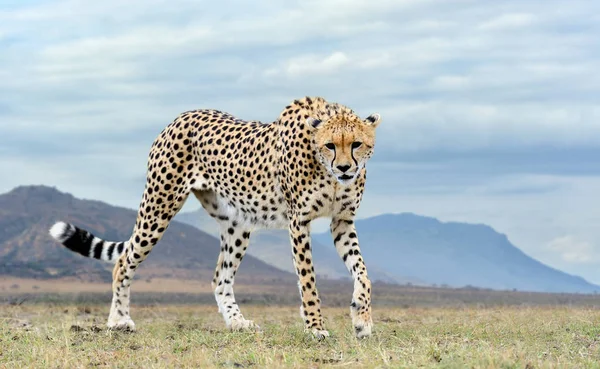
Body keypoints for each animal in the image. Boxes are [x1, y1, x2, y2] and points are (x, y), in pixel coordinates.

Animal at [49, 96, 382, 338]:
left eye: (356, 144)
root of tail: (182, 115)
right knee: (123, 261)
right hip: (159, 205)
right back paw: (119, 320)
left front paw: (362, 318)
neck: (327, 172)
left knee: (220, 277)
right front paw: (315, 327)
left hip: (237, 223)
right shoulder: (298, 222)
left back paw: (237, 323)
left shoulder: (342, 221)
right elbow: (308, 280)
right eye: (330, 145)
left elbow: (362, 272)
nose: (344, 168)